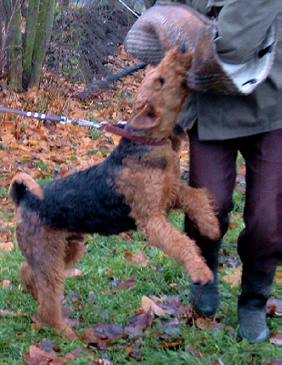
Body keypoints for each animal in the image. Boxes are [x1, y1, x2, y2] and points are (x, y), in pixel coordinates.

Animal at [8, 47, 220, 338]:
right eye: (160, 81)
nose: (182, 49)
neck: (146, 142)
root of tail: (24, 197)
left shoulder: (171, 194)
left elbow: (197, 197)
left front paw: (212, 228)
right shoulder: (152, 219)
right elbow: (182, 243)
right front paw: (201, 271)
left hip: (67, 248)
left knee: (29, 274)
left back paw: (35, 295)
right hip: (49, 253)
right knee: (48, 300)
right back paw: (66, 333)